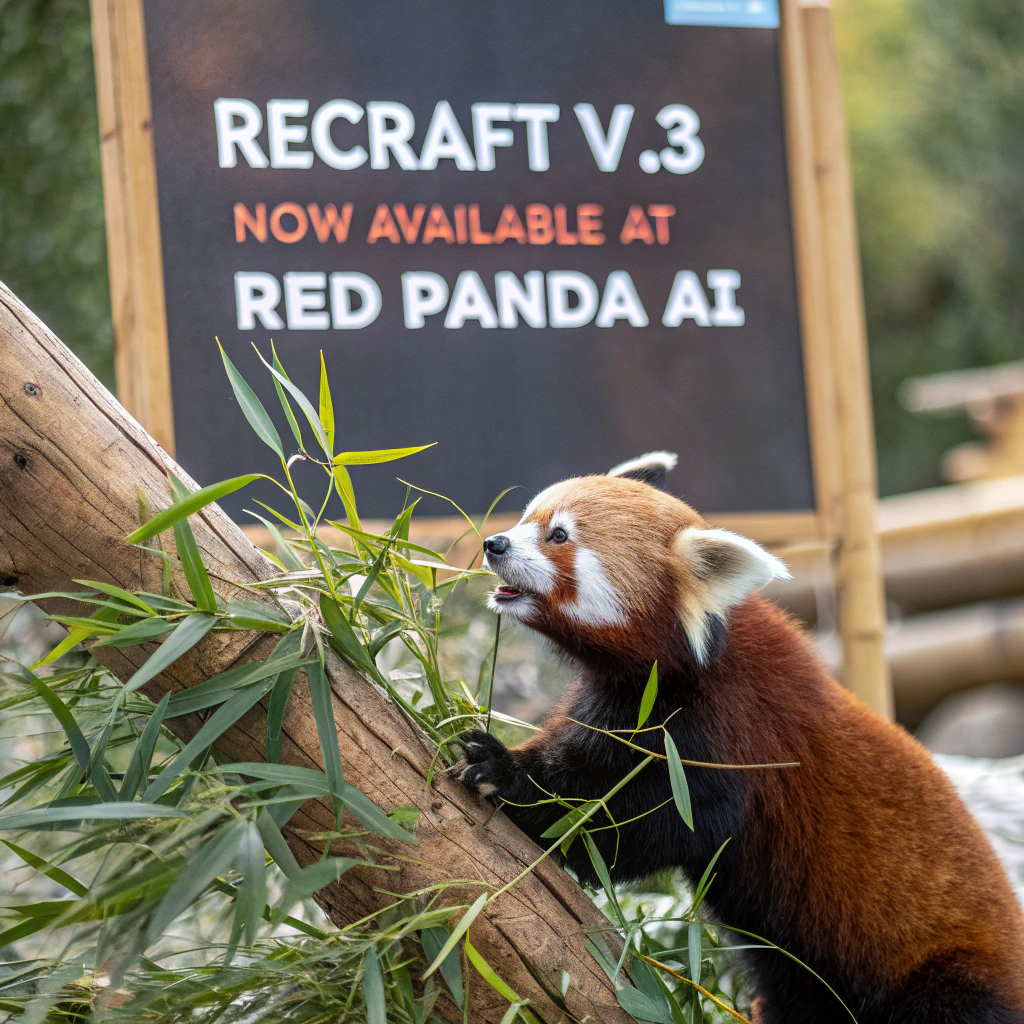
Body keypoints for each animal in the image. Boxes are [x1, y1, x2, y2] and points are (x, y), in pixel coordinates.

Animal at [459, 453, 1024, 1024]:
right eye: (527, 517)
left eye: (558, 536)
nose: (495, 543)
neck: (691, 659)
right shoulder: (621, 706)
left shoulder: (728, 732)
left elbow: (650, 820)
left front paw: (506, 777)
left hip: (949, 972)